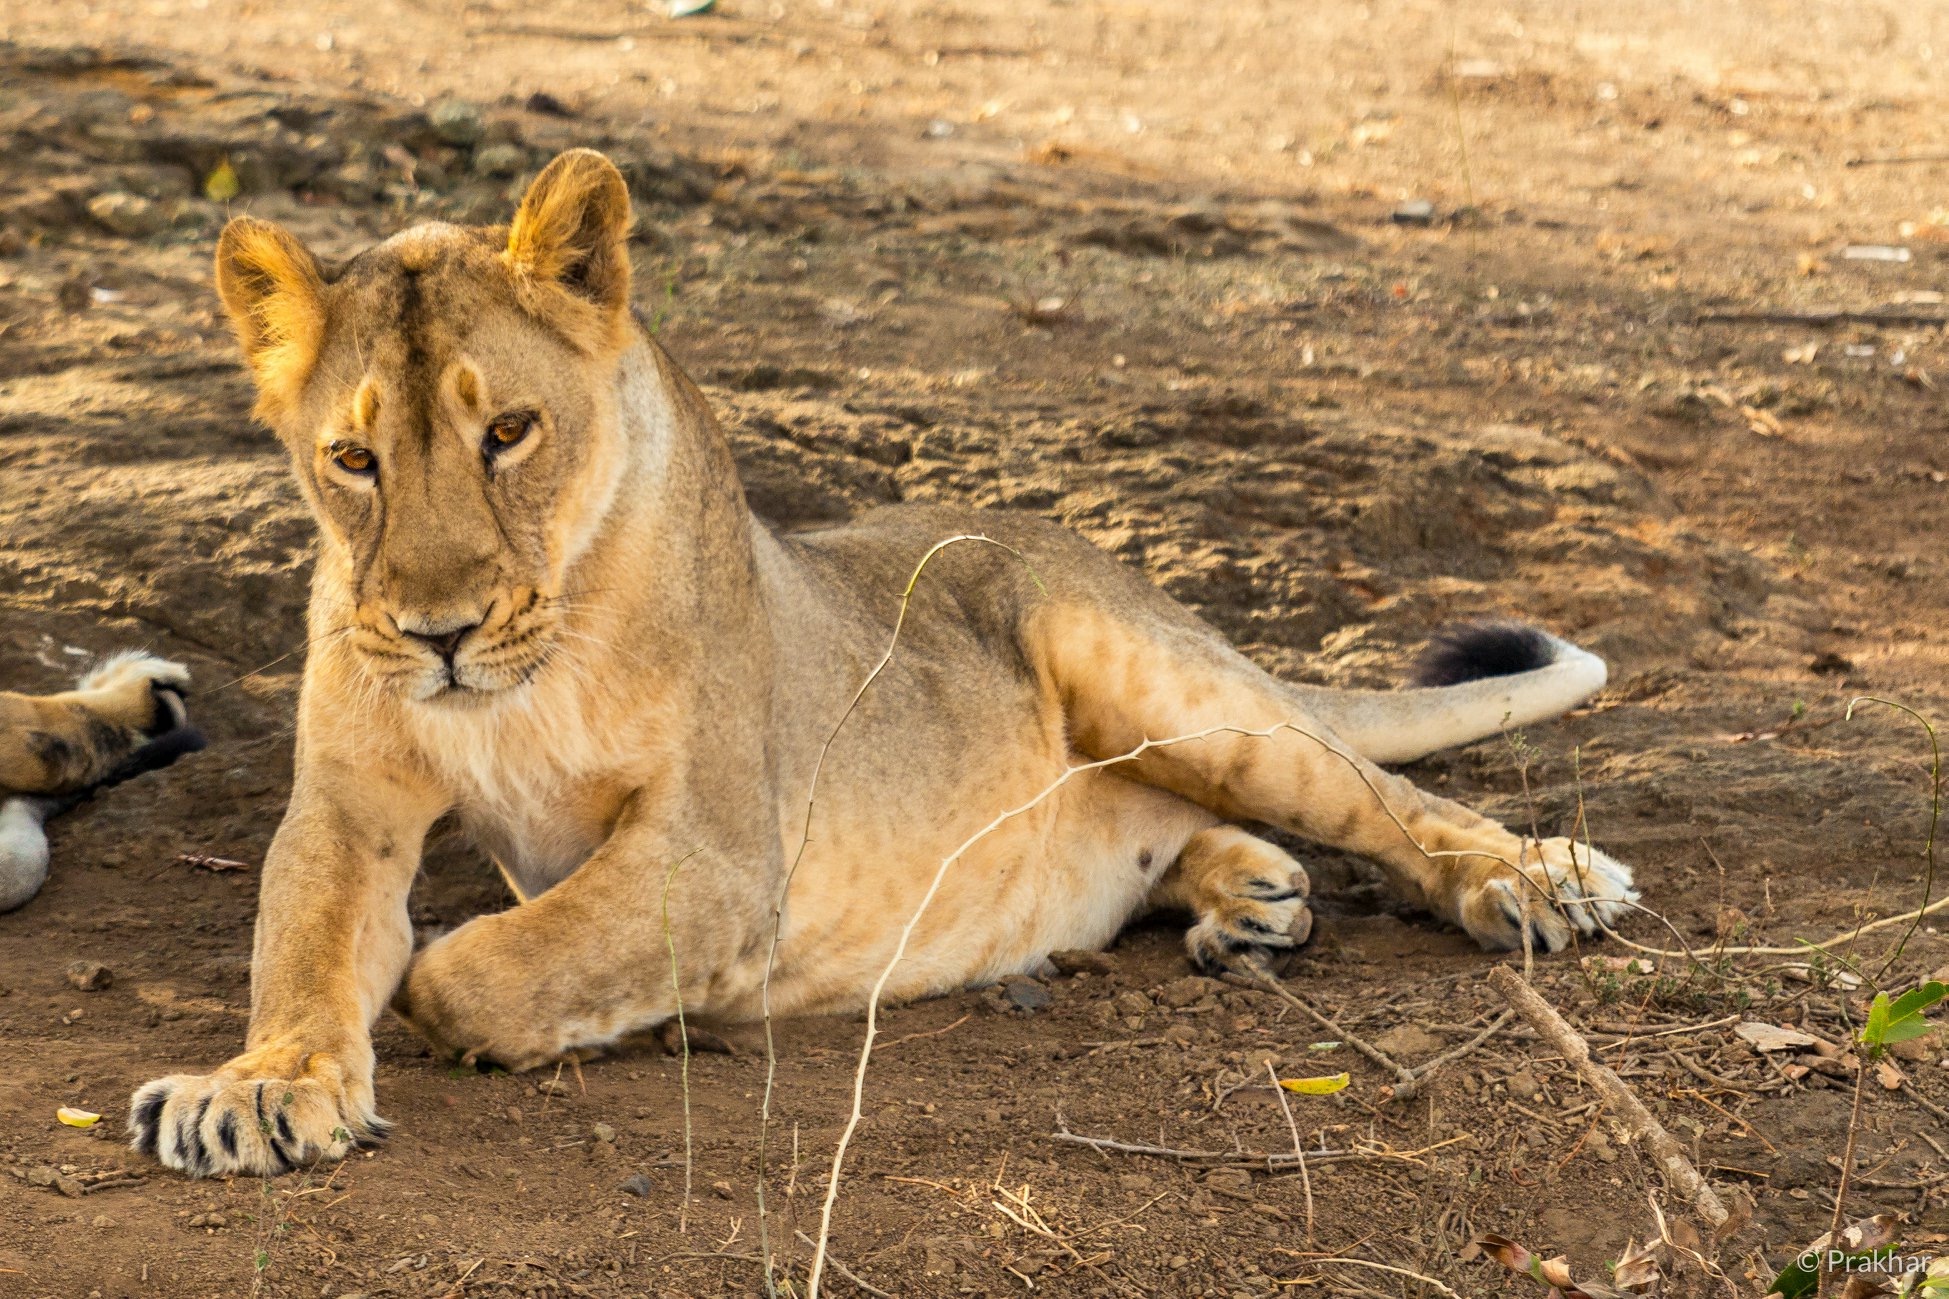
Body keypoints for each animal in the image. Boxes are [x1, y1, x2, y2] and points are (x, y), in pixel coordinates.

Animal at [127, 149, 1638, 1177]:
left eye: (508, 430)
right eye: (353, 457)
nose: (437, 631)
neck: (527, 661)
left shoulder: (719, 852)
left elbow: (470, 973)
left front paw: (613, 1007)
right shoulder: (351, 807)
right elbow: (305, 948)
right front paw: (258, 1085)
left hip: (1157, 676)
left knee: (1385, 801)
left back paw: (1532, 878)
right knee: (1182, 831)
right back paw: (1246, 897)